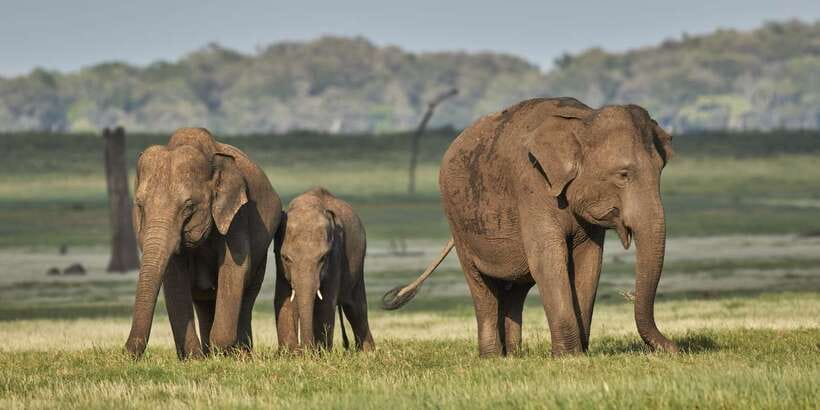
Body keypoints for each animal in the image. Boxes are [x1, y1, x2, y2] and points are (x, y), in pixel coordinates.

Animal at [124, 127, 282, 359]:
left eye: (188, 207)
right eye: (140, 205)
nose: (126, 351)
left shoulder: (237, 216)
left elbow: (235, 268)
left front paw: (222, 352)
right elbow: (174, 277)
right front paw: (194, 359)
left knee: (247, 295)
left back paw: (240, 355)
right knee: (204, 301)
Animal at [274, 187, 375, 352]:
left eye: (323, 257)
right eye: (286, 258)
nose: (304, 350)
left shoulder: (336, 253)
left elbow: (326, 302)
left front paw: (320, 353)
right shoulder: (279, 261)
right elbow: (284, 299)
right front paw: (289, 353)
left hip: (358, 265)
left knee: (356, 308)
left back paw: (367, 352)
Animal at [383, 97, 677, 357]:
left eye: (661, 170)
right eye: (623, 175)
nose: (675, 348)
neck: (582, 119)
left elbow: (589, 263)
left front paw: (580, 353)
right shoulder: (531, 188)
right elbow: (548, 260)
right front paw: (568, 357)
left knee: (516, 290)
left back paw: (514, 356)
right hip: (458, 223)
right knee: (481, 286)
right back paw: (492, 358)